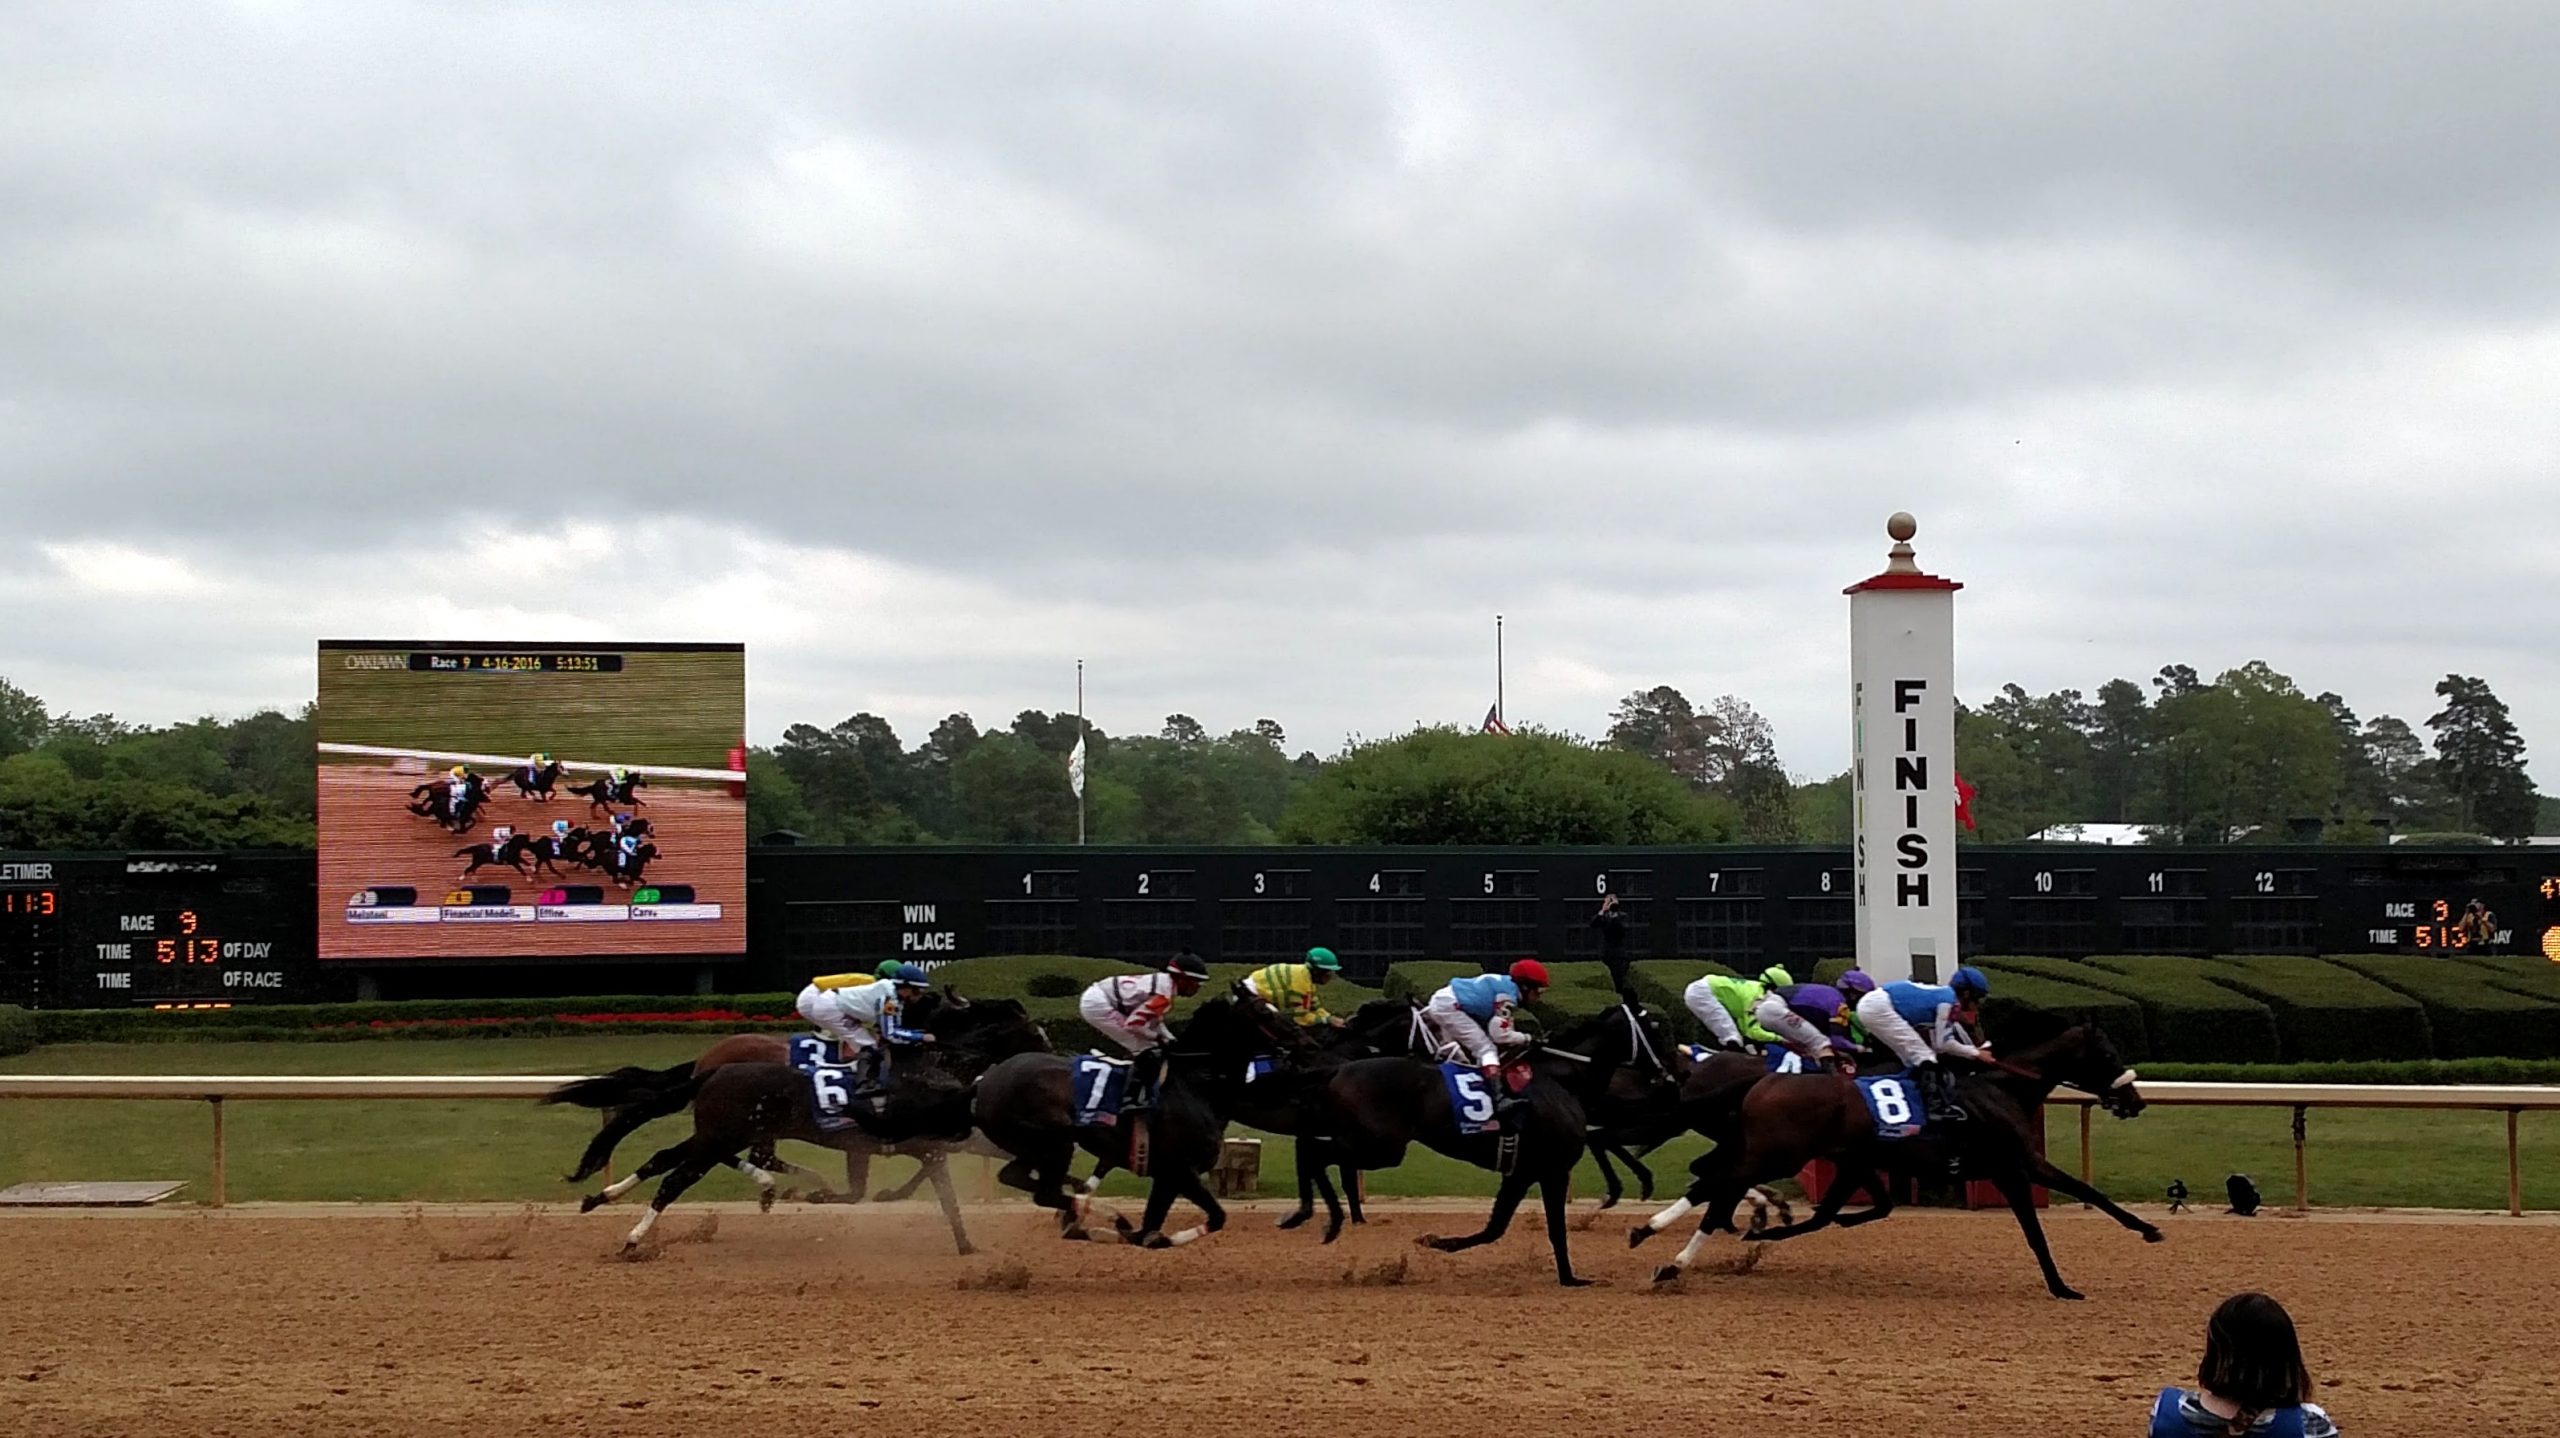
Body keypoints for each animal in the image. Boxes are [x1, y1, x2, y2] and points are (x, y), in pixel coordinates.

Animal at [1628, 1013, 2150, 1294]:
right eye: (2108, 1055)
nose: (2134, 1100)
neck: (2001, 1090)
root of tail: (1763, 1080)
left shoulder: (1857, 1162)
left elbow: (1844, 1212)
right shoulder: (2014, 1167)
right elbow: (2060, 1211)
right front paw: (2075, 1278)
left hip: (1767, 1150)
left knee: (1712, 1183)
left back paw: (1675, 1245)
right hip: (1776, 1154)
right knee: (1715, 1186)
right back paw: (1664, 1245)